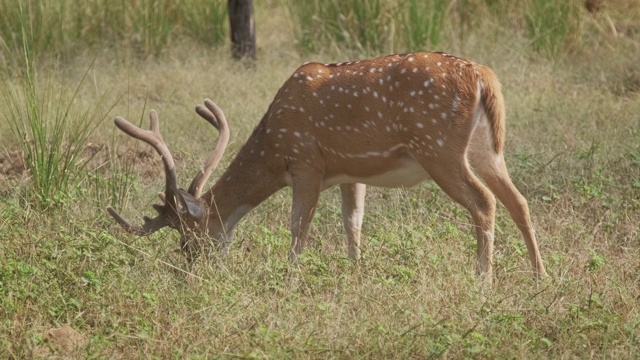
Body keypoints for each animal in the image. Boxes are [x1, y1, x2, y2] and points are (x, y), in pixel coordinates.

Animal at [107, 51, 548, 282]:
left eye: (187, 240)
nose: (189, 274)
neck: (272, 149)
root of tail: (484, 76)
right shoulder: (352, 173)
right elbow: (353, 223)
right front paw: (356, 273)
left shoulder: (306, 163)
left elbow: (298, 226)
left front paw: (289, 280)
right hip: (487, 150)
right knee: (519, 200)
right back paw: (539, 274)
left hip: (437, 147)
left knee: (484, 201)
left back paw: (483, 279)